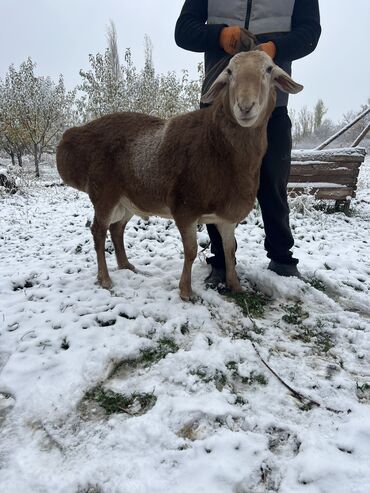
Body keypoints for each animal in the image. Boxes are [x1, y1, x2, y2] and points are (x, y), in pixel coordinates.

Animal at [56, 52, 302, 300]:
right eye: (230, 72)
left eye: (269, 70)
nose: (245, 106)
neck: (216, 143)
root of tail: (74, 135)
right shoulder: (185, 208)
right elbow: (191, 251)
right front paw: (186, 291)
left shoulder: (226, 216)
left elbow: (229, 250)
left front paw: (236, 286)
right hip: (104, 194)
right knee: (98, 231)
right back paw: (105, 279)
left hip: (128, 200)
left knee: (116, 230)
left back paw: (127, 266)